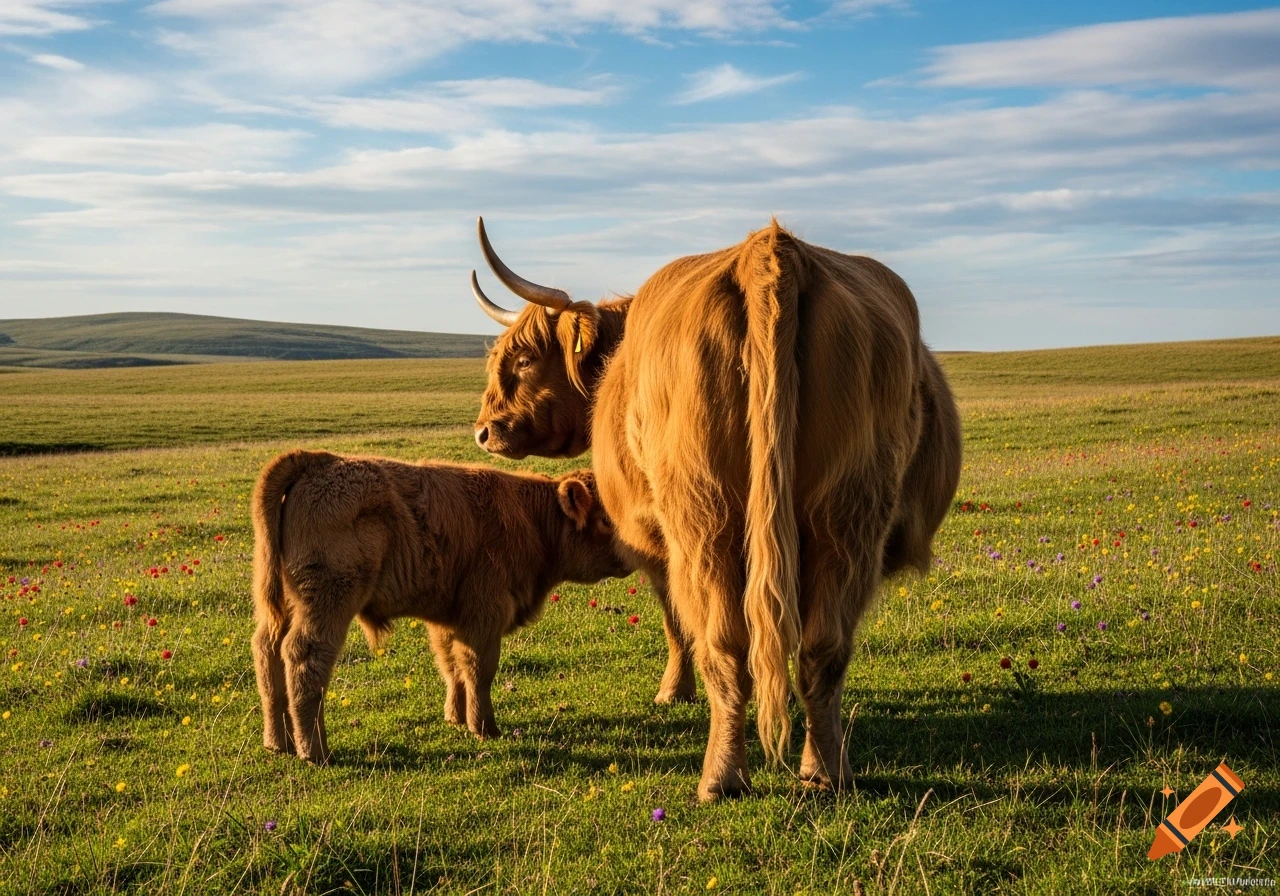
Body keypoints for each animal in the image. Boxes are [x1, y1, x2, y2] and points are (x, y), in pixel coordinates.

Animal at [250, 449, 632, 763]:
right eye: (604, 519)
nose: (631, 555)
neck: (532, 519)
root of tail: (321, 460)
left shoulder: (450, 619)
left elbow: (452, 666)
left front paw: (456, 718)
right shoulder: (484, 616)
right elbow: (479, 670)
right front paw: (485, 728)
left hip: (283, 607)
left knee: (267, 649)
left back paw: (278, 743)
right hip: (328, 603)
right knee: (305, 657)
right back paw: (315, 751)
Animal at [469, 218, 961, 800]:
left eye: (523, 360)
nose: (483, 431)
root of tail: (771, 248)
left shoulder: (653, 543)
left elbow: (676, 622)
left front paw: (672, 691)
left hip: (707, 521)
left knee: (724, 643)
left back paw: (721, 777)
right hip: (846, 518)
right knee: (822, 646)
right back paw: (824, 772)